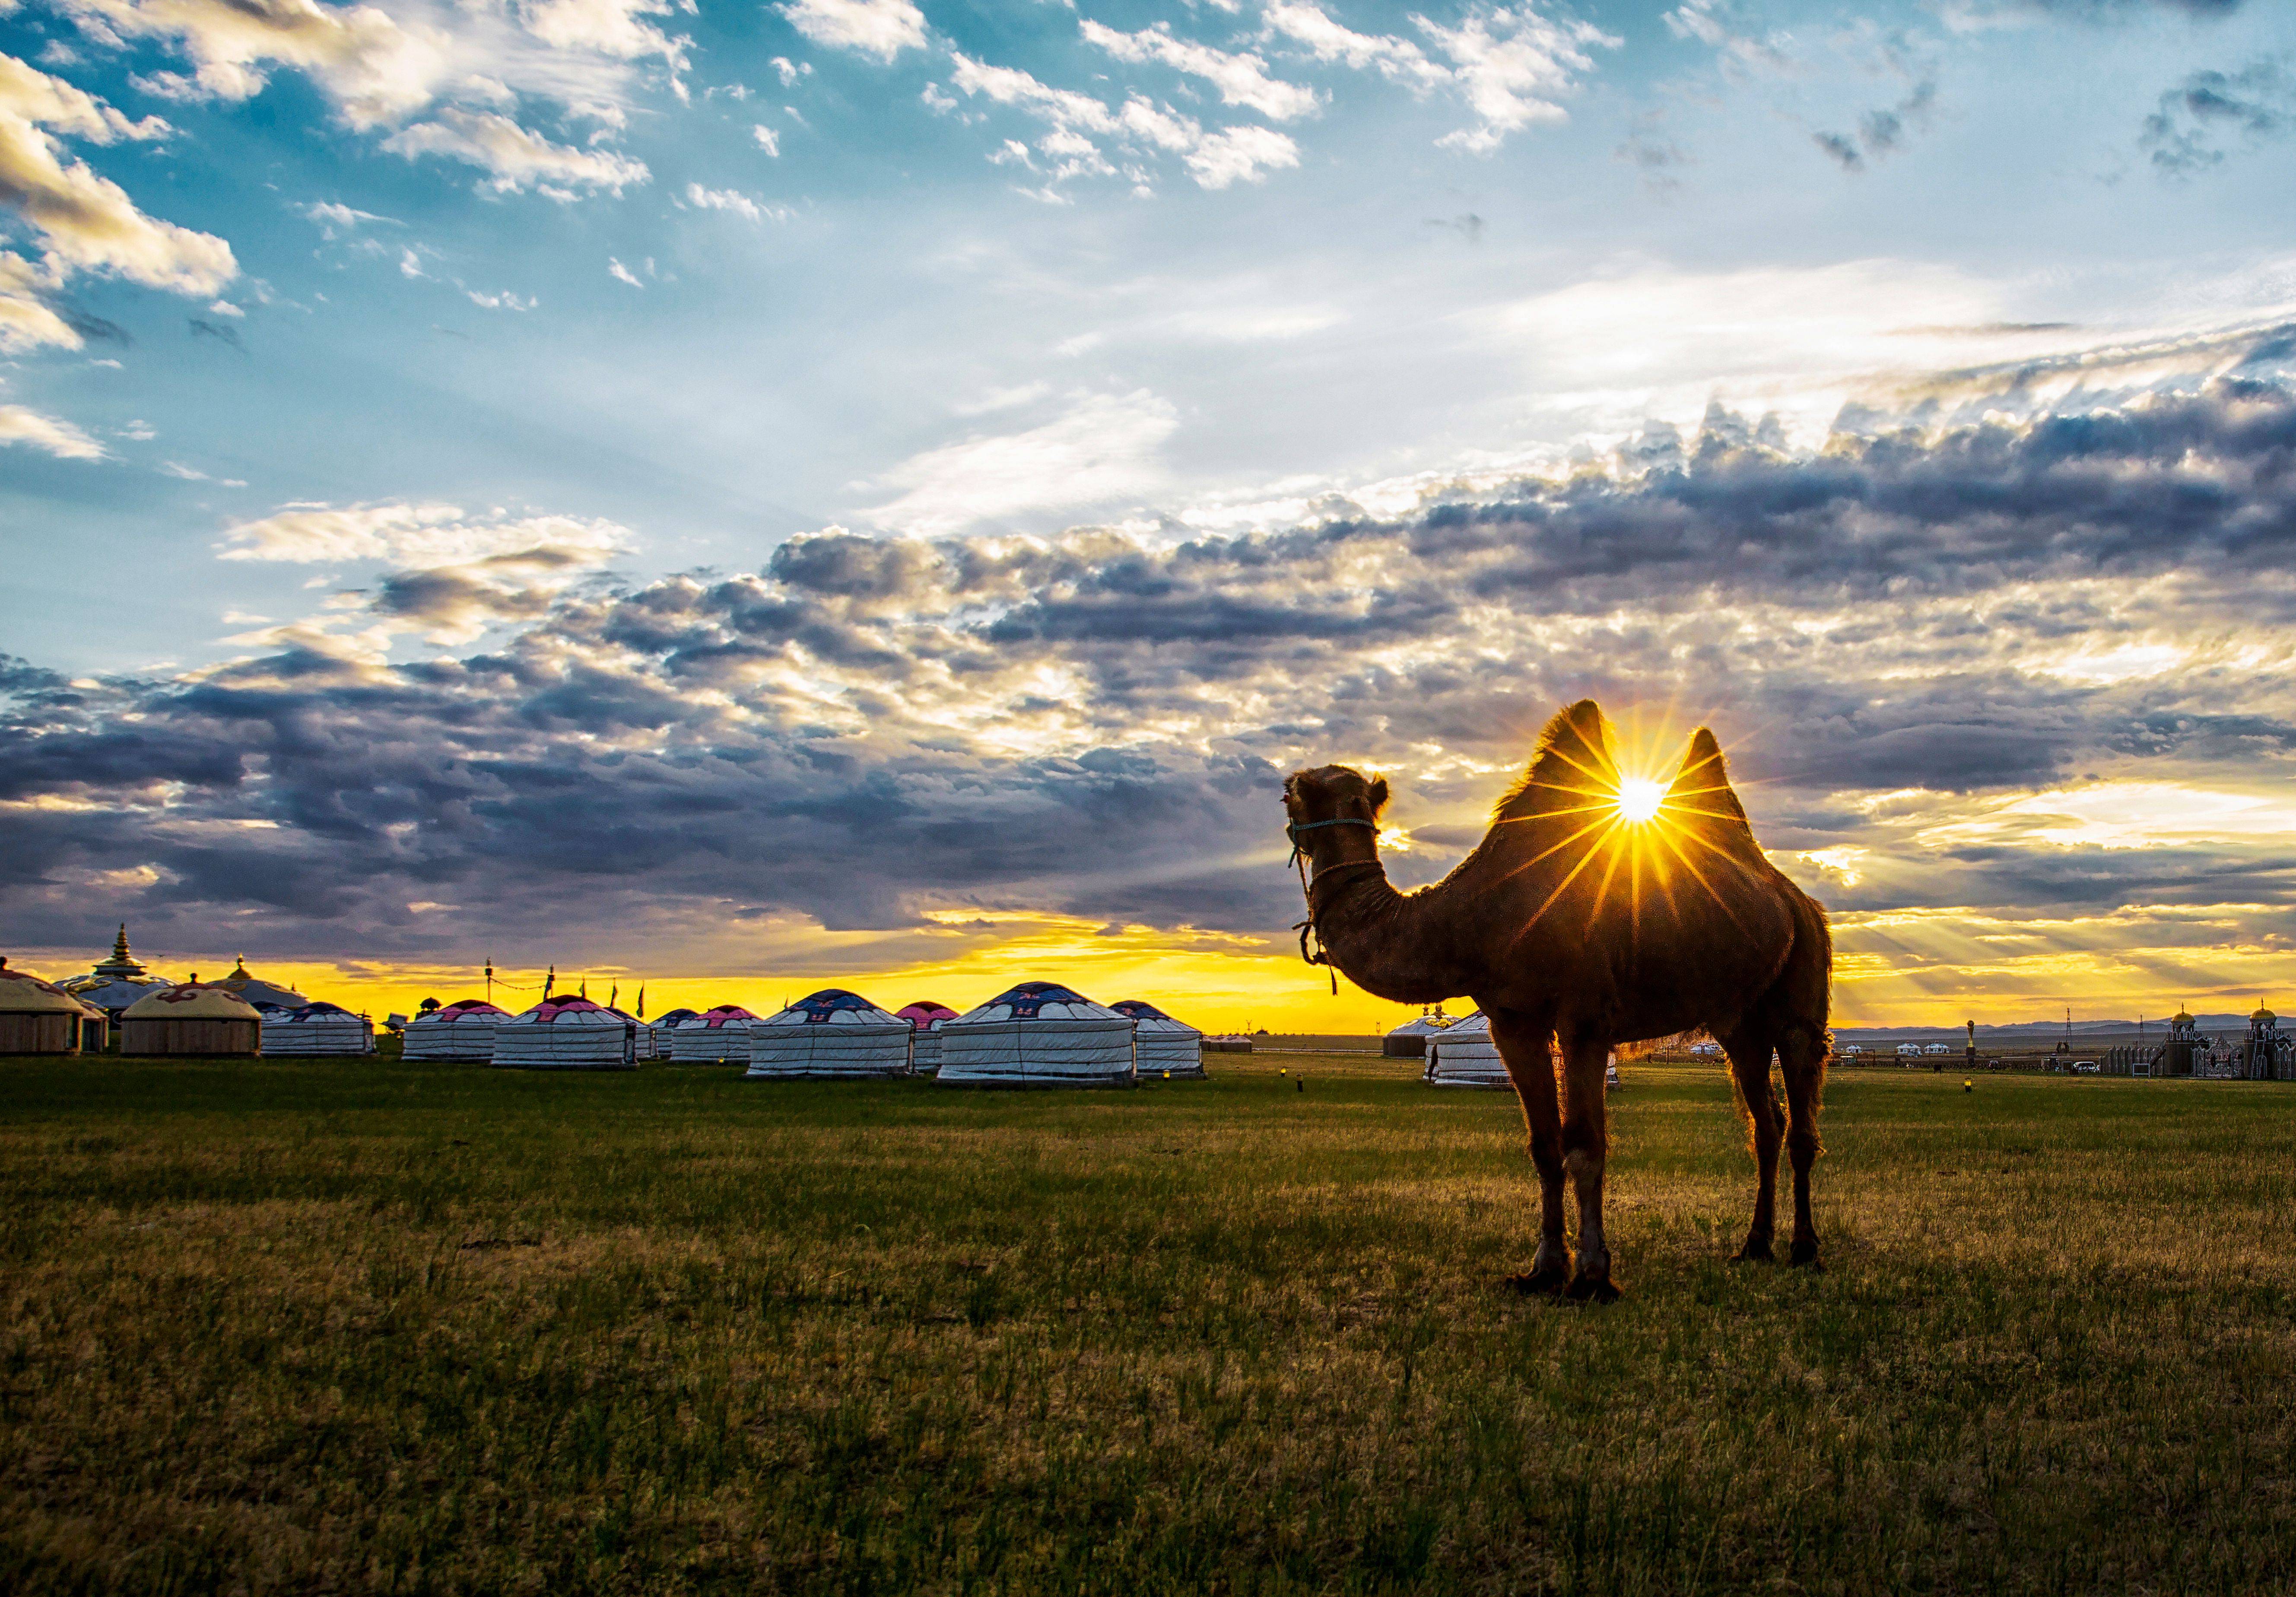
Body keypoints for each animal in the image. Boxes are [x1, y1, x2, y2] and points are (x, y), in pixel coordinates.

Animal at [1286, 698, 1837, 1296]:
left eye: (1289, 794)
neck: (1476, 915)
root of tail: (1795, 901)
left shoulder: (1585, 1020)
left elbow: (1585, 1145)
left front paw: (1593, 1275)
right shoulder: (1511, 1021)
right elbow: (1544, 1145)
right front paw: (1544, 1268)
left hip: (1802, 986)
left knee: (1800, 1118)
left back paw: (1805, 1249)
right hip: (1738, 1023)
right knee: (1765, 1124)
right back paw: (1754, 1245)